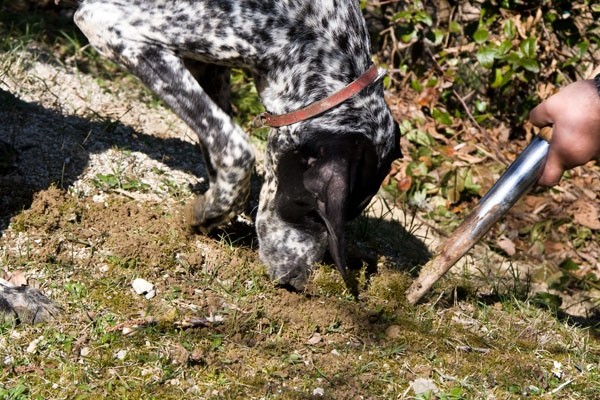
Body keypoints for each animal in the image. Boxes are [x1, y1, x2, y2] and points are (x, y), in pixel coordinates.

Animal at [2, 0, 404, 322]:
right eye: (315, 213)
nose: (295, 282)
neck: (304, 26)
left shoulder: (207, 62)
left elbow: (215, 140)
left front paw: (215, 215)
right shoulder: (113, 24)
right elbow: (236, 147)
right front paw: (205, 213)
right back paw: (15, 299)